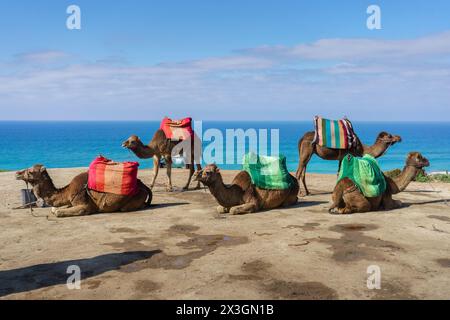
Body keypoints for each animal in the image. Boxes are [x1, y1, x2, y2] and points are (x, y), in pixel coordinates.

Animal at [15, 165, 153, 218]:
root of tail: (144, 186)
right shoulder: (71, 201)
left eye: (31, 171)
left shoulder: (84, 205)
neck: (69, 190)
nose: (17, 173)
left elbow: (58, 212)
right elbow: (54, 208)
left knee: (127, 208)